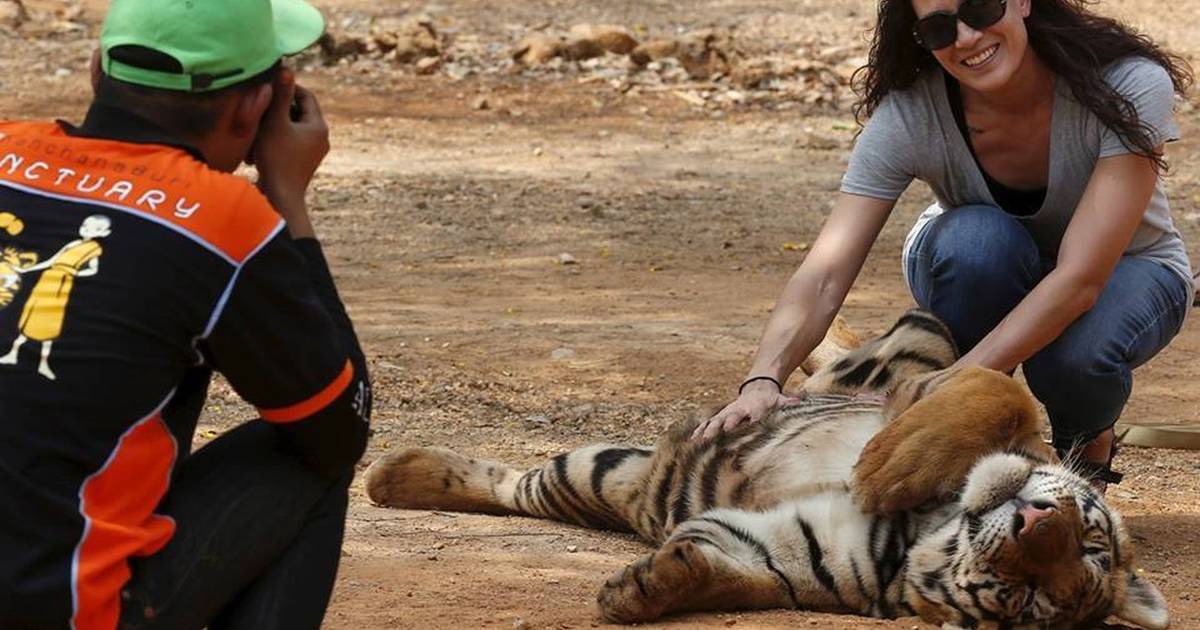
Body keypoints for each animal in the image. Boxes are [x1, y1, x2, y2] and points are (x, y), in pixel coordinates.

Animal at [362, 309, 1161, 628]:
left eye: (1032, 597)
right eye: (1091, 538)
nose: (1036, 520)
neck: (931, 529)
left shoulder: (784, 553)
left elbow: (715, 568)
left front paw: (638, 590)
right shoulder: (959, 401)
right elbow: (996, 393)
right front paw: (883, 466)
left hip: (601, 475)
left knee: (524, 486)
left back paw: (393, 474)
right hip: (918, 338)